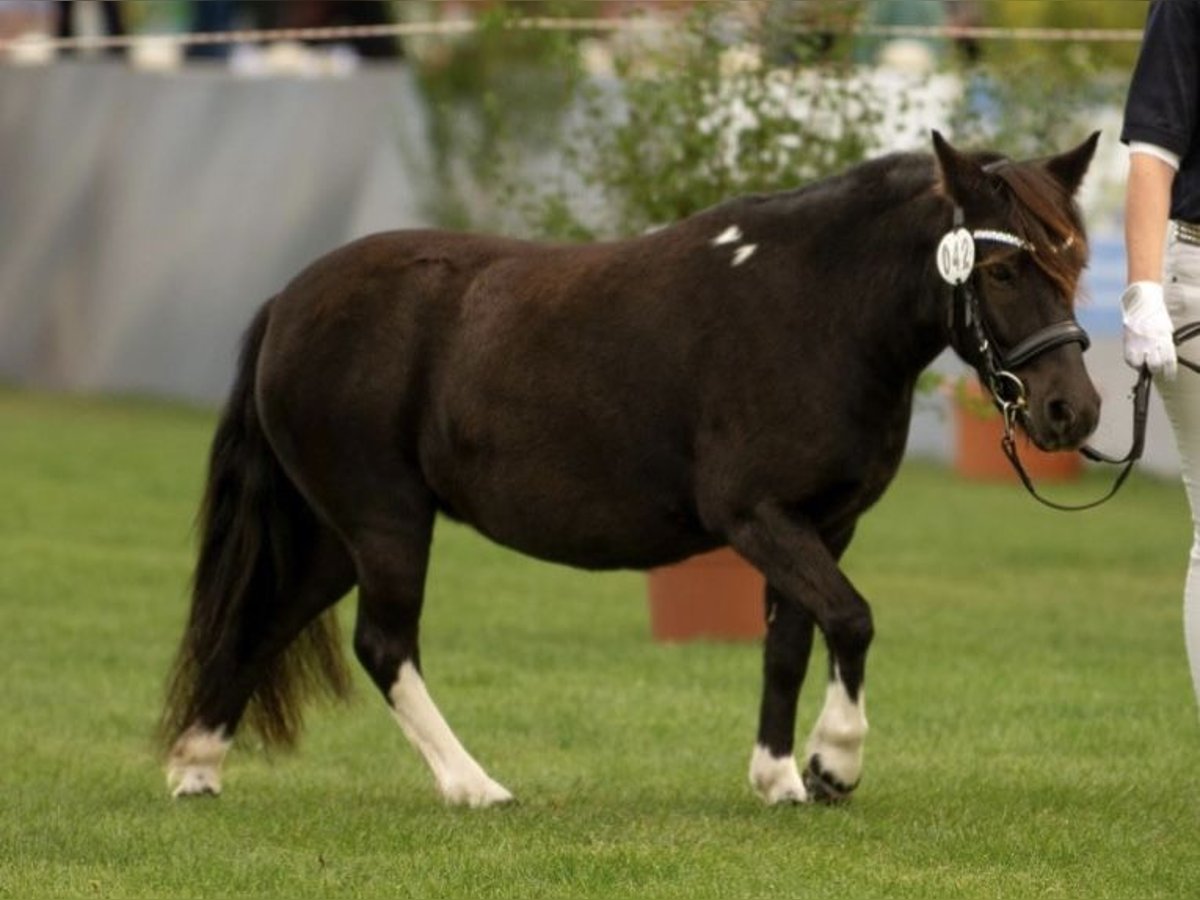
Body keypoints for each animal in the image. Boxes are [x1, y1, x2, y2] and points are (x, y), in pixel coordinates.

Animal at [164, 130, 1099, 806]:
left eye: (1075, 262)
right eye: (1003, 268)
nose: (1074, 411)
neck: (815, 309)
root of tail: (289, 300)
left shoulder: (823, 524)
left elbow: (791, 642)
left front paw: (779, 778)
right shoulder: (756, 516)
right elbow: (852, 619)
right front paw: (834, 764)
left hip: (338, 535)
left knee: (267, 620)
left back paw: (197, 767)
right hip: (386, 520)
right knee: (383, 644)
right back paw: (474, 786)